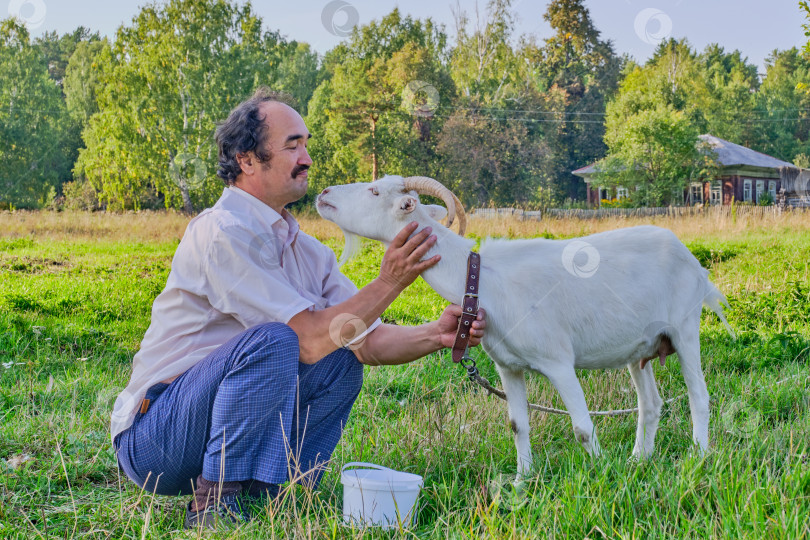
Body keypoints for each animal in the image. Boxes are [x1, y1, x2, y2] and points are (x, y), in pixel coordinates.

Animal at [314, 175, 732, 474]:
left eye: (373, 191)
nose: (323, 193)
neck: (480, 279)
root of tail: (692, 261)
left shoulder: (559, 362)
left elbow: (583, 427)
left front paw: (600, 473)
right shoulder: (508, 367)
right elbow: (518, 425)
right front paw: (522, 479)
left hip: (685, 328)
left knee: (698, 396)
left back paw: (698, 456)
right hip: (638, 349)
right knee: (651, 404)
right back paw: (638, 460)